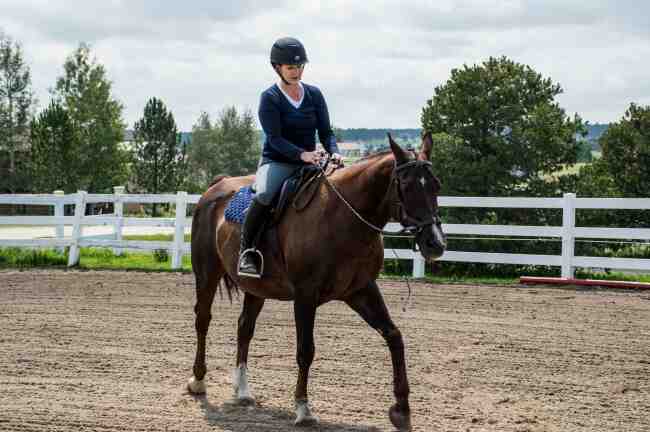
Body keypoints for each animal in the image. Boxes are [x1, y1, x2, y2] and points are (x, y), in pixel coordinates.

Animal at [187, 133, 446, 431]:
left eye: (436, 185)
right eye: (406, 184)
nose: (435, 243)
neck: (342, 217)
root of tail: (216, 187)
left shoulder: (362, 290)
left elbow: (394, 336)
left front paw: (402, 410)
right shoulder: (305, 296)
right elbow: (306, 350)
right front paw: (303, 408)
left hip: (257, 287)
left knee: (244, 328)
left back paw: (242, 391)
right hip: (207, 274)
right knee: (203, 320)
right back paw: (198, 380)